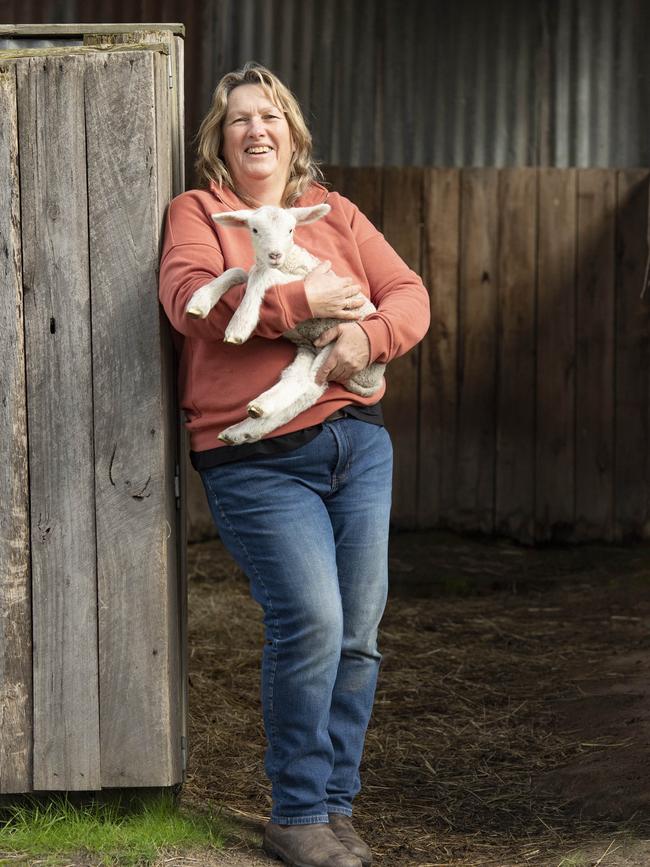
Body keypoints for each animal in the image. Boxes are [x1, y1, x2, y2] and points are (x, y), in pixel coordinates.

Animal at [184, 206, 384, 444]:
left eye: (291, 230)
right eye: (254, 230)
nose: (275, 255)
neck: (288, 261)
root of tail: (375, 378)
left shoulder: (303, 279)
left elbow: (261, 273)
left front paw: (239, 325)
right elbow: (237, 271)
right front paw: (199, 302)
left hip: (338, 346)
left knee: (308, 386)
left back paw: (256, 413)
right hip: (309, 348)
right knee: (297, 381)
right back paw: (244, 427)